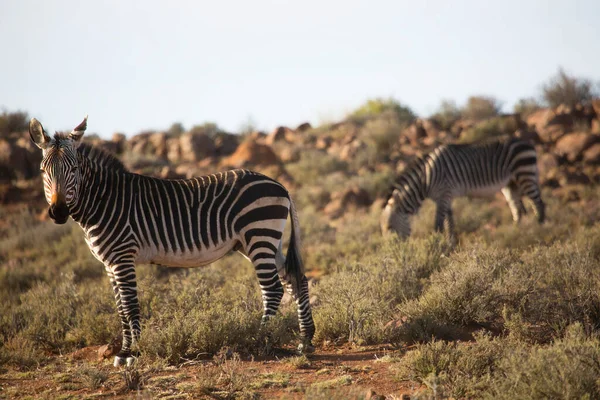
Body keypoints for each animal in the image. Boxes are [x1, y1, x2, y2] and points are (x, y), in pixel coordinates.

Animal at [29, 115, 316, 366]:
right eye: (43, 171)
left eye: (74, 169)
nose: (58, 212)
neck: (104, 200)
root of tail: (280, 185)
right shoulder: (109, 263)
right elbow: (120, 309)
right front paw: (123, 352)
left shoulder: (122, 257)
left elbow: (130, 306)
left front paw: (133, 352)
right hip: (260, 241)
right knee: (296, 280)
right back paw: (305, 340)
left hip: (259, 235)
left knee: (274, 289)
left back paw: (259, 338)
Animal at [382, 138, 548, 244]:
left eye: (389, 227)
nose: (393, 252)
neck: (426, 179)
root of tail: (527, 142)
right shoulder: (445, 196)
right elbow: (449, 221)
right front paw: (451, 243)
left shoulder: (444, 193)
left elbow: (439, 223)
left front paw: (437, 244)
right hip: (510, 183)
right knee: (518, 210)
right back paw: (517, 233)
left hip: (525, 174)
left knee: (538, 203)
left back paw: (539, 230)